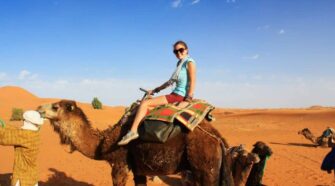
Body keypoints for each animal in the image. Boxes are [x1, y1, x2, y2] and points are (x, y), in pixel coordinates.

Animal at [38, 99, 235, 185]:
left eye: (55, 106)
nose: (39, 108)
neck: (105, 142)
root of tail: (218, 139)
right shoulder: (139, 168)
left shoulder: (120, 164)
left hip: (205, 167)